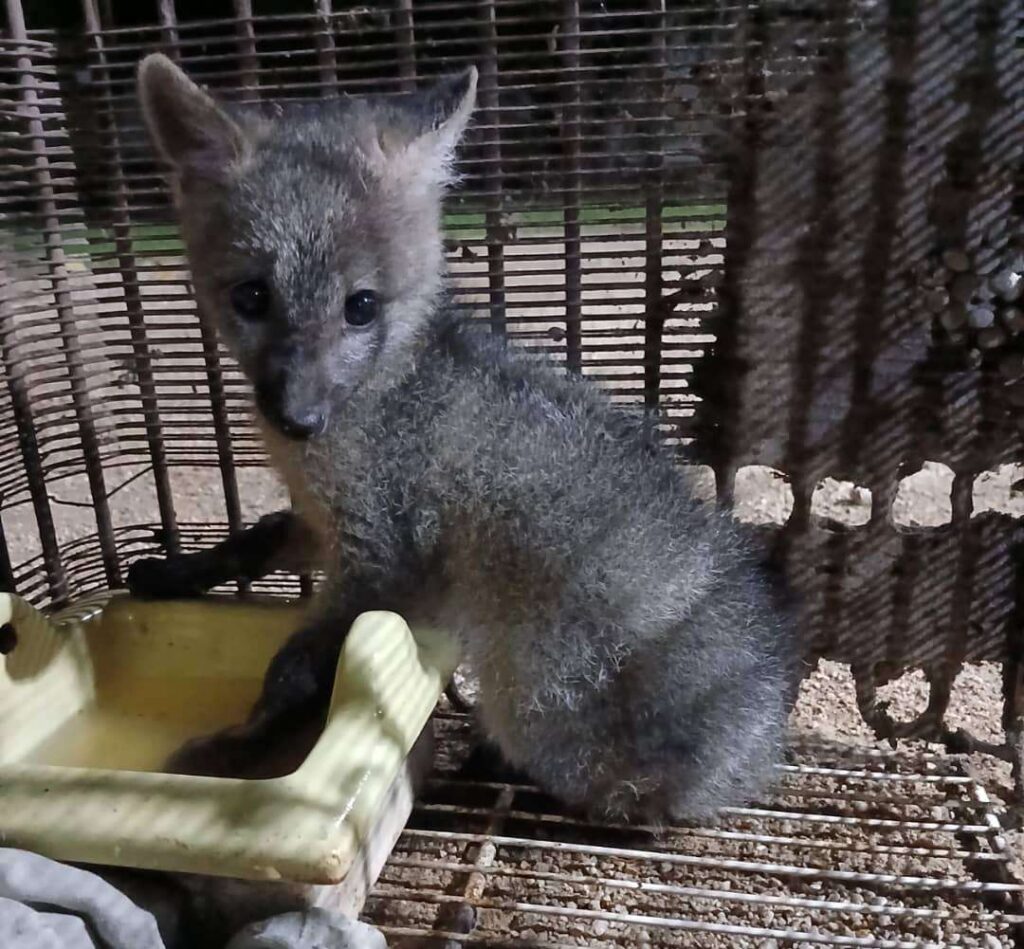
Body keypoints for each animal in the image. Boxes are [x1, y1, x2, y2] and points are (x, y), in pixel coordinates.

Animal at [131, 52, 804, 822]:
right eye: (250, 297)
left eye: (361, 307)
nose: (298, 418)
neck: (389, 387)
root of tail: (758, 744)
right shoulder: (325, 523)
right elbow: (256, 539)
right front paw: (173, 572)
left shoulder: (387, 563)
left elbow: (296, 672)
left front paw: (233, 752)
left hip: (535, 698)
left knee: (612, 801)